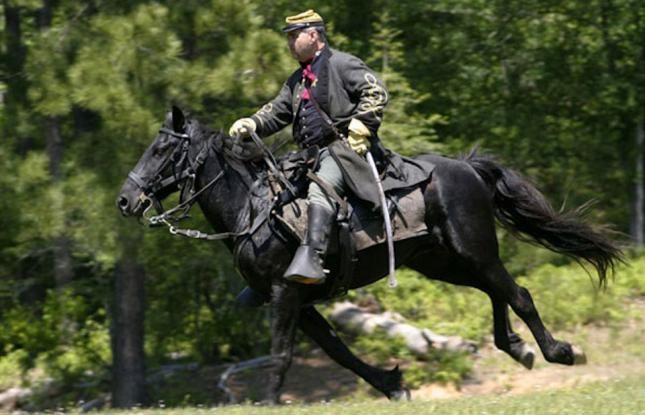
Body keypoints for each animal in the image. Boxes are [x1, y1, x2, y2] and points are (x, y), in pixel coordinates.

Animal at [118, 107, 620, 404]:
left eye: (161, 148)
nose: (125, 201)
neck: (254, 209)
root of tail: (468, 168)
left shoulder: (284, 294)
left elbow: (281, 356)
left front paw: (268, 402)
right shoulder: (301, 302)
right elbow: (338, 351)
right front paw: (393, 385)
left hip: (473, 251)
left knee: (519, 294)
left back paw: (558, 351)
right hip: (444, 262)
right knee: (497, 292)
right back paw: (516, 347)